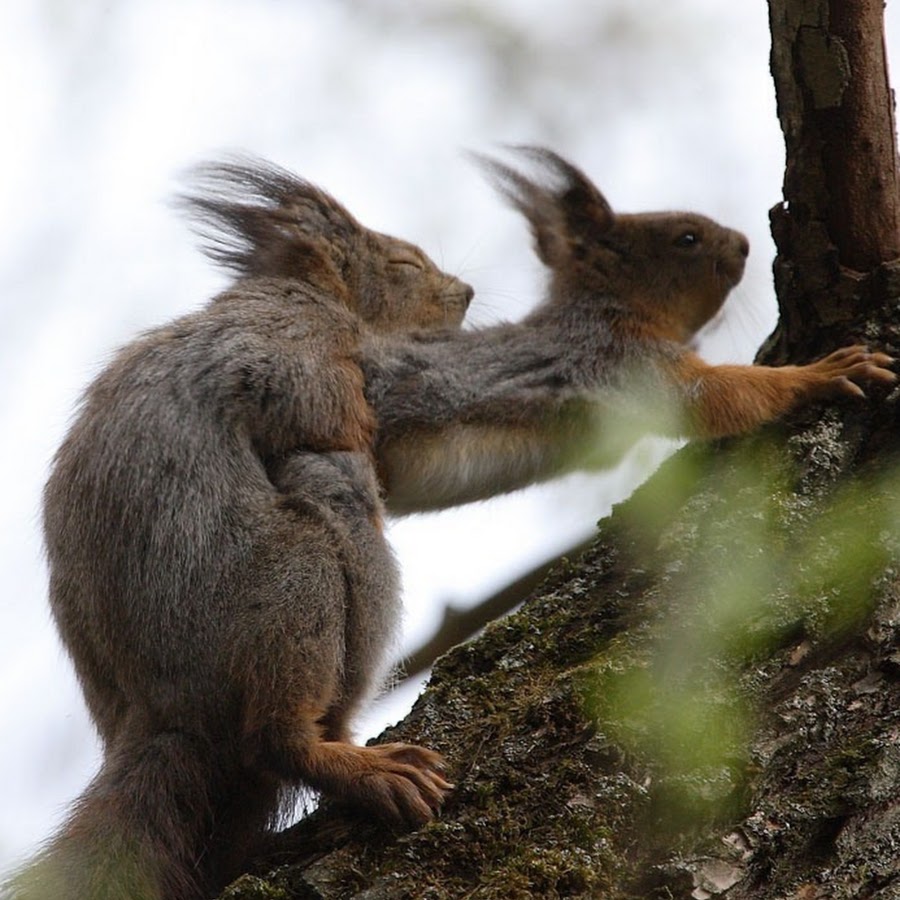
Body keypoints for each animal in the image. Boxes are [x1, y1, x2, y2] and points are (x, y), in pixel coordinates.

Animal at [8, 149, 892, 900]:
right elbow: (727, 399)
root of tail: (159, 709)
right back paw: (346, 756)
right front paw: (822, 373)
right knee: (280, 703)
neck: (610, 315)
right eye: (684, 237)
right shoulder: (622, 369)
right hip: (282, 581)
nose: (743, 241)